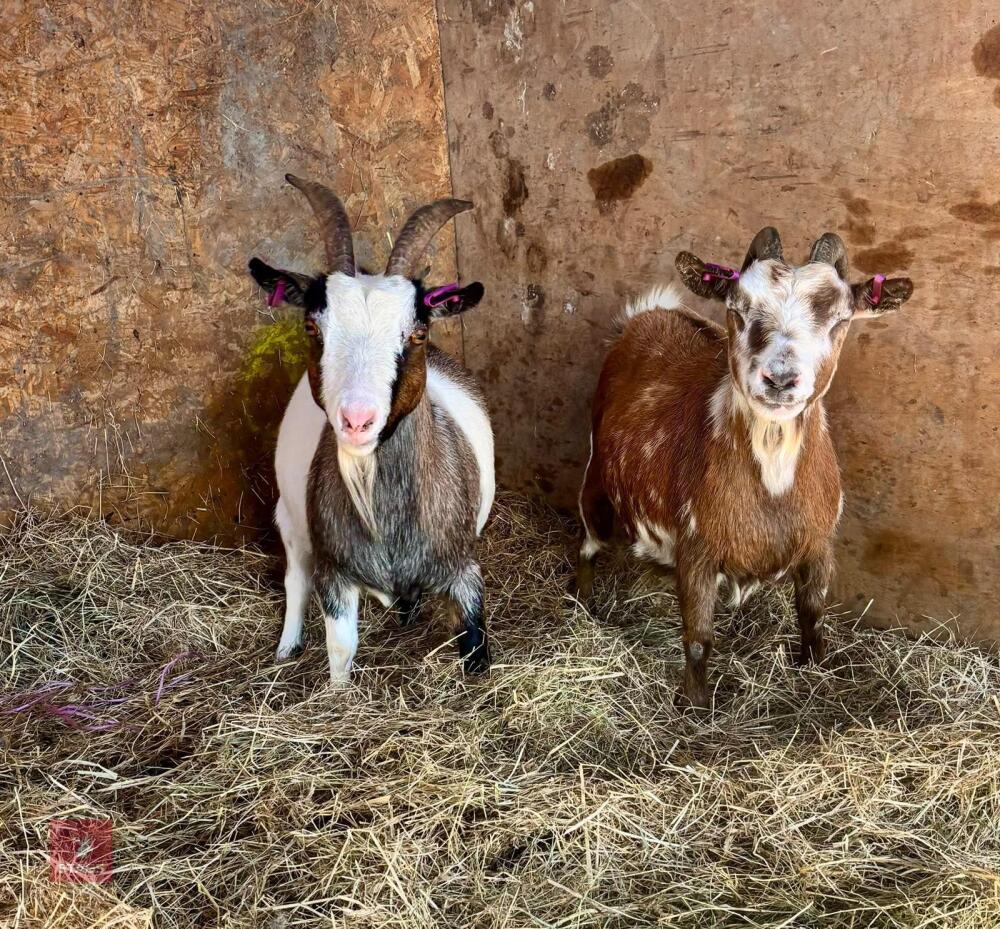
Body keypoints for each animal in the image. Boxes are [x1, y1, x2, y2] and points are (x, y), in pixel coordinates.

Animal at [248, 175, 493, 683]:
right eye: (311, 327)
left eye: (418, 331)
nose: (357, 420)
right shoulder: (335, 575)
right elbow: (341, 651)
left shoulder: (464, 567)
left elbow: (475, 643)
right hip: (289, 518)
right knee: (294, 576)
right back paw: (286, 647)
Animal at [576, 228, 914, 707]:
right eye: (737, 308)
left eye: (840, 319)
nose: (780, 379)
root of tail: (650, 313)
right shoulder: (697, 548)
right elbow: (699, 639)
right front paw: (694, 707)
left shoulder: (819, 544)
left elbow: (812, 617)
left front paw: (815, 671)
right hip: (596, 478)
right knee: (589, 543)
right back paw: (582, 605)